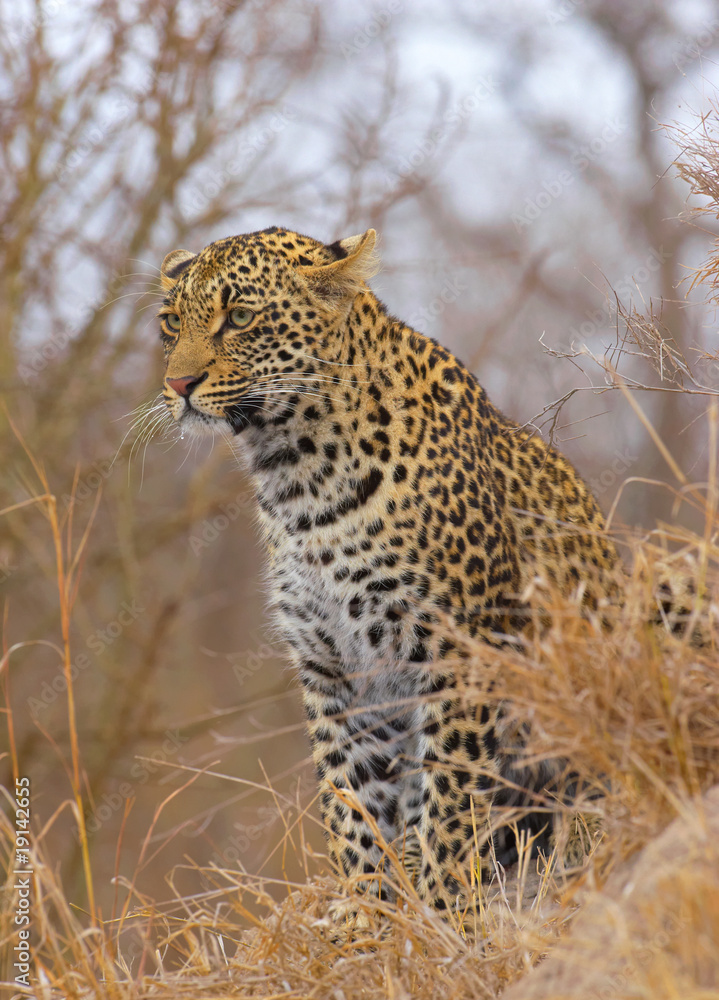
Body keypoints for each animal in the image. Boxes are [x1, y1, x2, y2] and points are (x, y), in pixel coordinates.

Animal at [157, 225, 622, 918]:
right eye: (169, 323)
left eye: (238, 318)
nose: (179, 384)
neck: (298, 480)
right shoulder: (331, 667)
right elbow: (352, 799)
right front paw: (363, 914)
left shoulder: (457, 651)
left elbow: (450, 794)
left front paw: (444, 907)